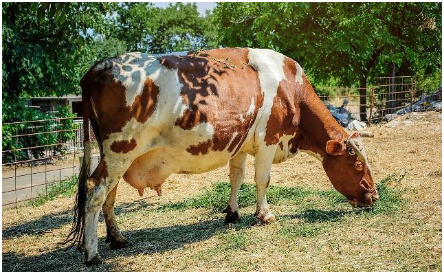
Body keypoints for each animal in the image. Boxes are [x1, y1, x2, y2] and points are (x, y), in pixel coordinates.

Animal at [64, 47, 380, 266]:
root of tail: (98, 68)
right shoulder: (268, 140)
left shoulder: (239, 144)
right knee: (95, 191)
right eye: (357, 163)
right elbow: (262, 179)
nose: (375, 196)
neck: (290, 86)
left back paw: (117, 238)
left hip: (114, 155)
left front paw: (232, 213)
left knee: (110, 195)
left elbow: (236, 177)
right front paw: (264, 214)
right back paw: (92, 253)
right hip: (120, 150)